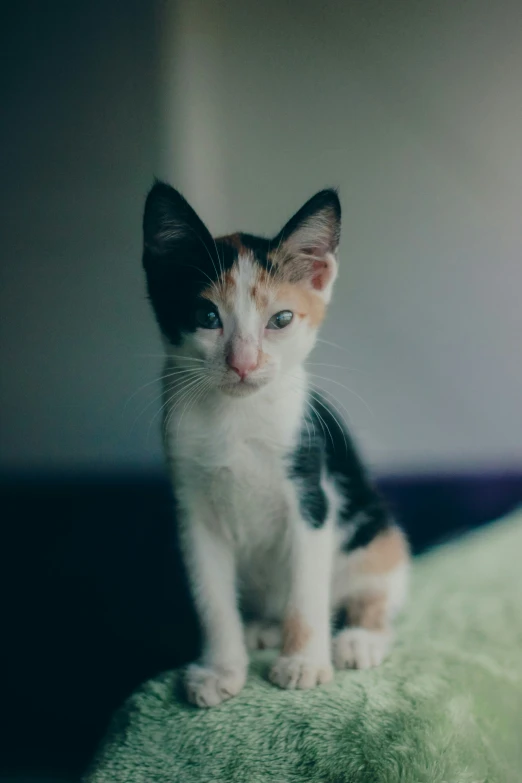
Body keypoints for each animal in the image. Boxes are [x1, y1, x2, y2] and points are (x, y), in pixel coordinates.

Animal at [141, 184, 406, 712]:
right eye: (206, 317)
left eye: (281, 319)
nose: (244, 363)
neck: (235, 416)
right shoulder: (192, 508)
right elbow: (211, 599)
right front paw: (222, 669)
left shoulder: (311, 493)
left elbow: (307, 591)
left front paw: (303, 663)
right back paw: (261, 629)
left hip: (376, 533)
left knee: (377, 593)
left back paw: (359, 638)